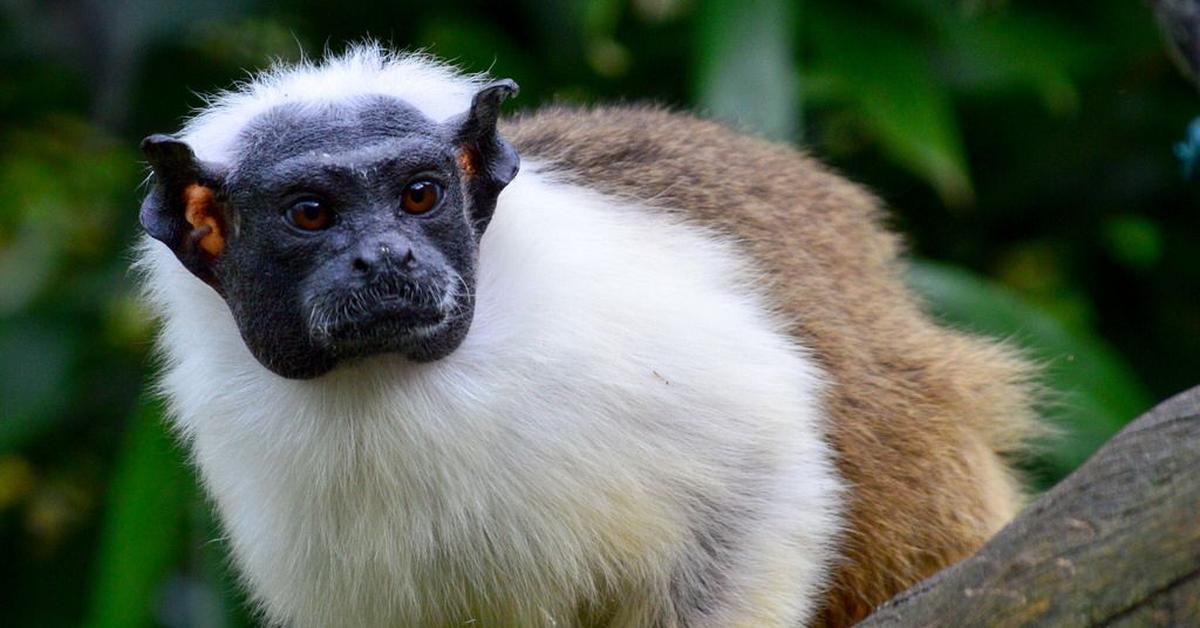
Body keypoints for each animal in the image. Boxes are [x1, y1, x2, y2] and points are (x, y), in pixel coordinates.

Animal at [133, 44, 1041, 628]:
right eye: (311, 214)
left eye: (421, 196)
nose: (386, 257)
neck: (391, 383)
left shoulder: (610, 345)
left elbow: (763, 474)